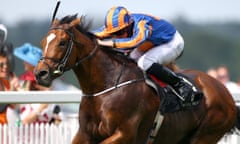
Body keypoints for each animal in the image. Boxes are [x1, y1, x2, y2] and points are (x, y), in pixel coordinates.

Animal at [34, 14, 240, 144]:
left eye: (62, 42)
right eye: (43, 42)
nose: (40, 73)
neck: (105, 87)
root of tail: (225, 93)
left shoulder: (124, 134)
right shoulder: (84, 134)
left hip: (204, 135)